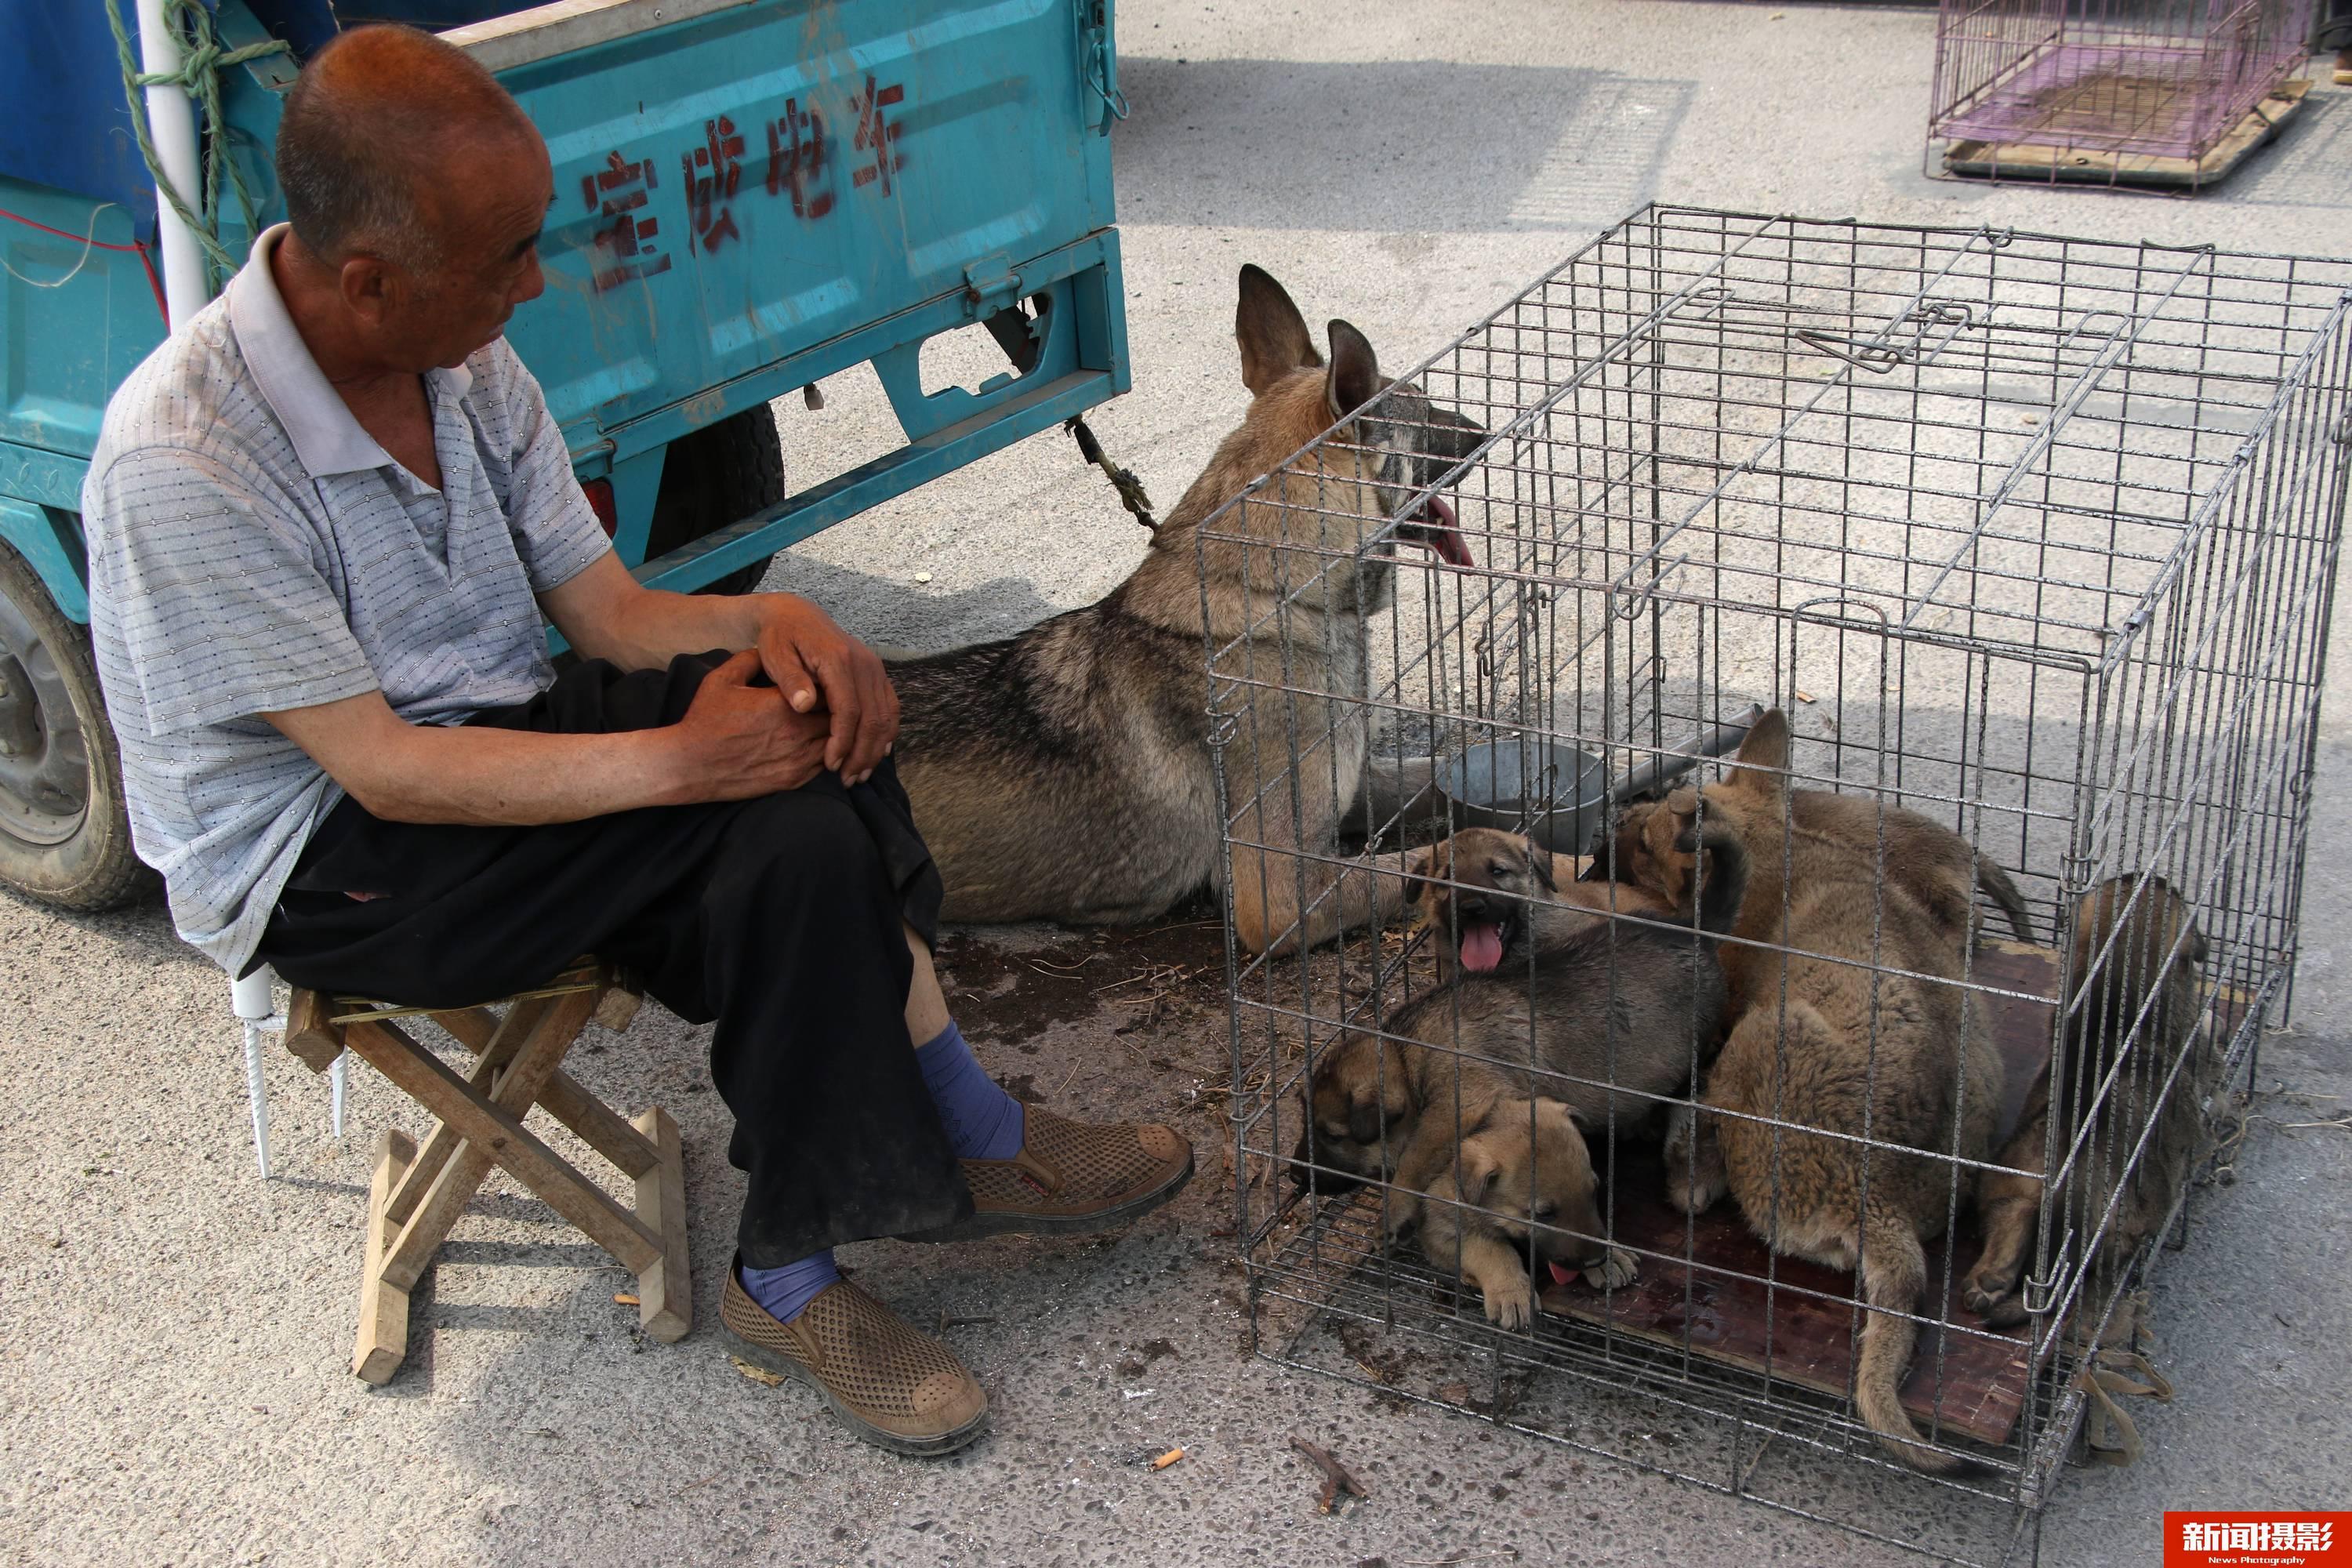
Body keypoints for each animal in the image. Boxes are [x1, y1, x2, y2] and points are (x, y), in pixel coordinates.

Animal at [889, 267, 1477, 959]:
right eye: (1428, 412)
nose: (1480, 428)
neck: (1275, 599)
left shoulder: (1356, 785)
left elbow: (1436, 777)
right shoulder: (1283, 894)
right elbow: (1432, 860)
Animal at [1618, 719, 2004, 1476]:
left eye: (1646, 842)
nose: (1620, 819)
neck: (1779, 844)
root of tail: (1879, 1203)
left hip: (1759, 1040)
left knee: (1700, 1179)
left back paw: (1684, 1157)